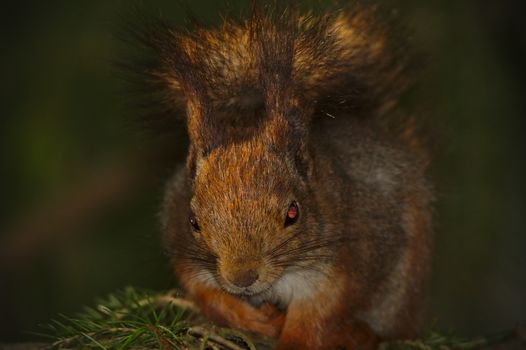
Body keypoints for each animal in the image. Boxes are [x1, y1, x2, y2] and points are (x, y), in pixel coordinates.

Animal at [135, 3, 434, 350]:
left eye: (293, 213)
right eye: (193, 222)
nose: (242, 278)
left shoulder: (353, 258)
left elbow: (319, 315)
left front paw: (294, 338)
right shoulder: (188, 258)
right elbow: (210, 297)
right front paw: (252, 319)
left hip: (403, 289)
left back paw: (358, 334)